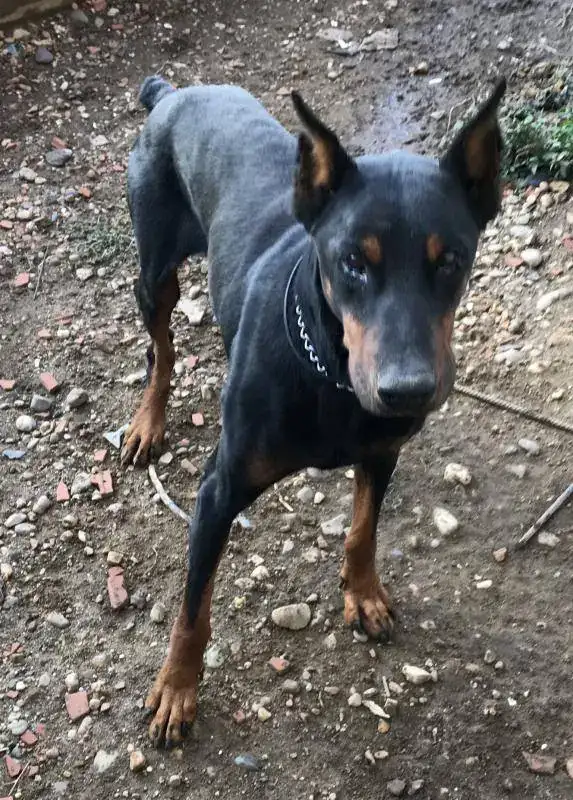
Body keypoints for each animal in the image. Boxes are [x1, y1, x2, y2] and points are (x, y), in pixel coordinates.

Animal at [121, 75, 506, 747]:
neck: (331, 374)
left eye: (451, 260)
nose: (406, 390)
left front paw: (365, 595)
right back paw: (149, 421)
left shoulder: (382, 452)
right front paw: (176, 690)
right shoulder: (219, 490)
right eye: (353, 261)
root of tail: (170, 92)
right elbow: (193, 608)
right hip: (154, 268)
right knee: (160, 348)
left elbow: (363, 530)